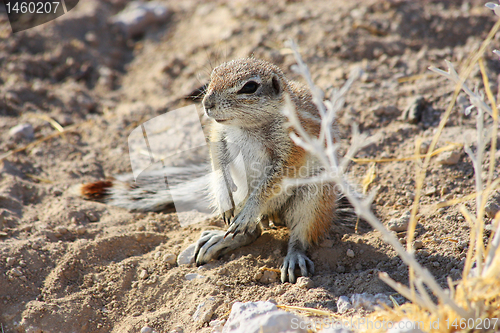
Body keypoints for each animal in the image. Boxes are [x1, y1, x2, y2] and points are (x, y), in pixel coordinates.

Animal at [80, 58, 346, 282]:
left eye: (249, 87)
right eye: (214, 75)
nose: (207, 103)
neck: (246, 126)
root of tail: (273, 215)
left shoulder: (292, 148)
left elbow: (274, 181)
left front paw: (249, 210)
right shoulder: (219, 137)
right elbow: (218, 164)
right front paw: (224, 202)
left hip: (314, 195)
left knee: (300, 234)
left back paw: (292, 256)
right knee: (252, 232)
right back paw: (218, 239)